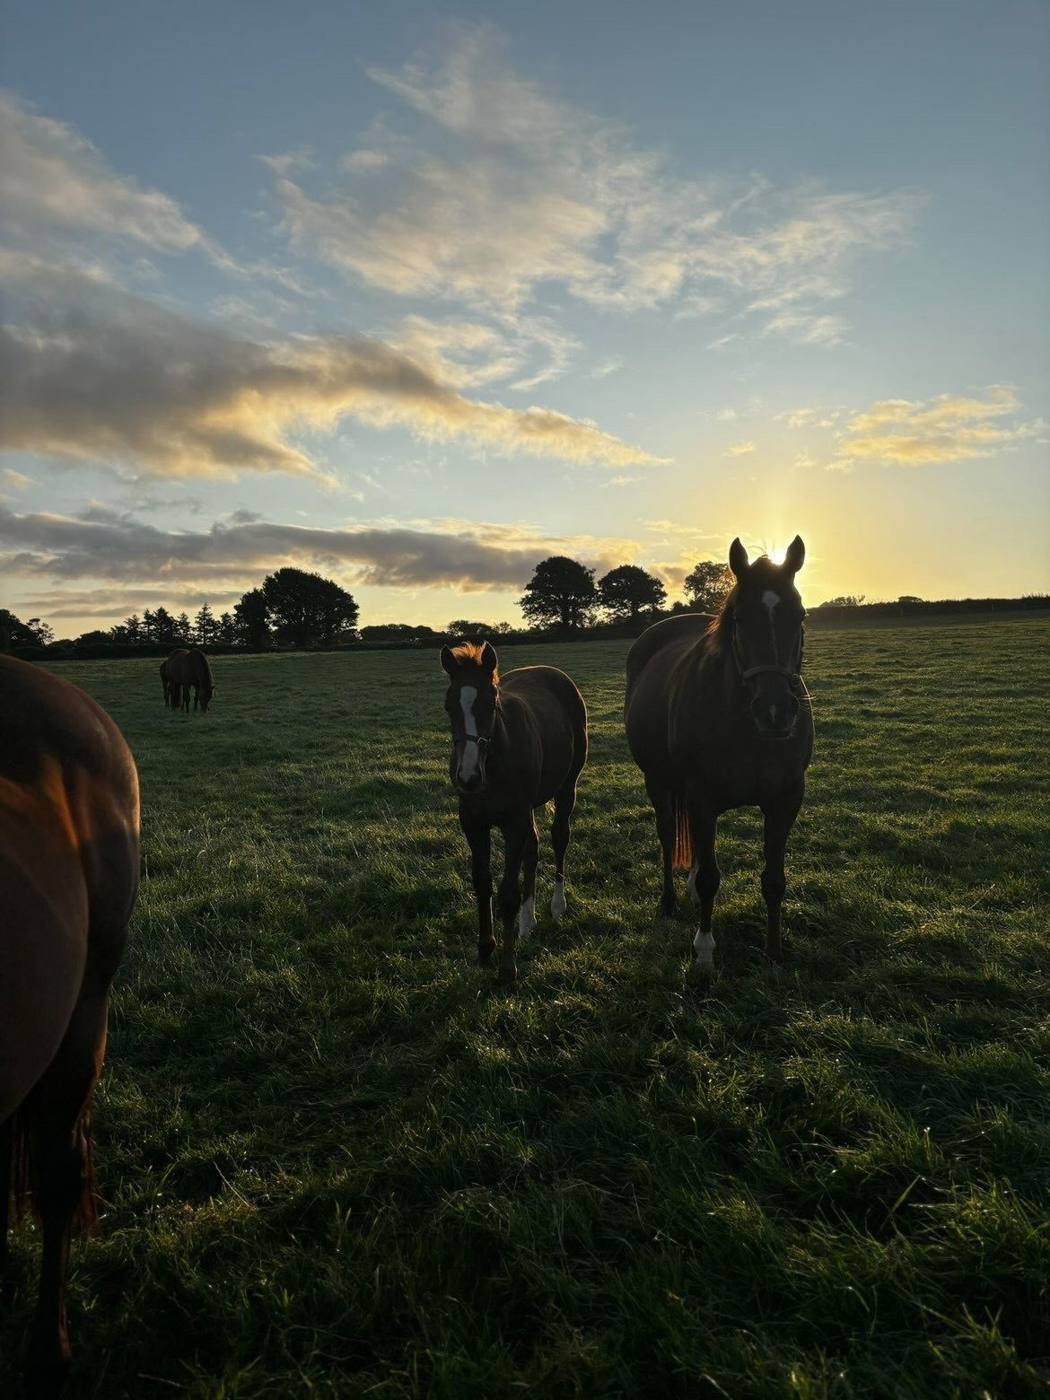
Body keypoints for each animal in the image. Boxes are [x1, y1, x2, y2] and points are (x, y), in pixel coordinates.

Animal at [441, 642, 587, 987]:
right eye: (449, 707)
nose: (468, 778)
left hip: (566, 788)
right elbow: (482, 882)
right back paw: (527, 920)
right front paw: (485, 949)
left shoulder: (513, 822)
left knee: (559, 839)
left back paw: (557, 906)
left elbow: (508, 893)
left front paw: (507, 969)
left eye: (490, 704)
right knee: (532, 849)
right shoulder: (473, 823)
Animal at [624, 536, 813, 971]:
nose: (776, 712)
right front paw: (705, 950)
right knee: (667, 836)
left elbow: (773, 880)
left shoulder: (785, 801)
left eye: (799, 616)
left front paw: (773, 952)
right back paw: (669, 900)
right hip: (659, 782)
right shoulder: (702, 798)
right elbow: (712, 877)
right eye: (740, 619)